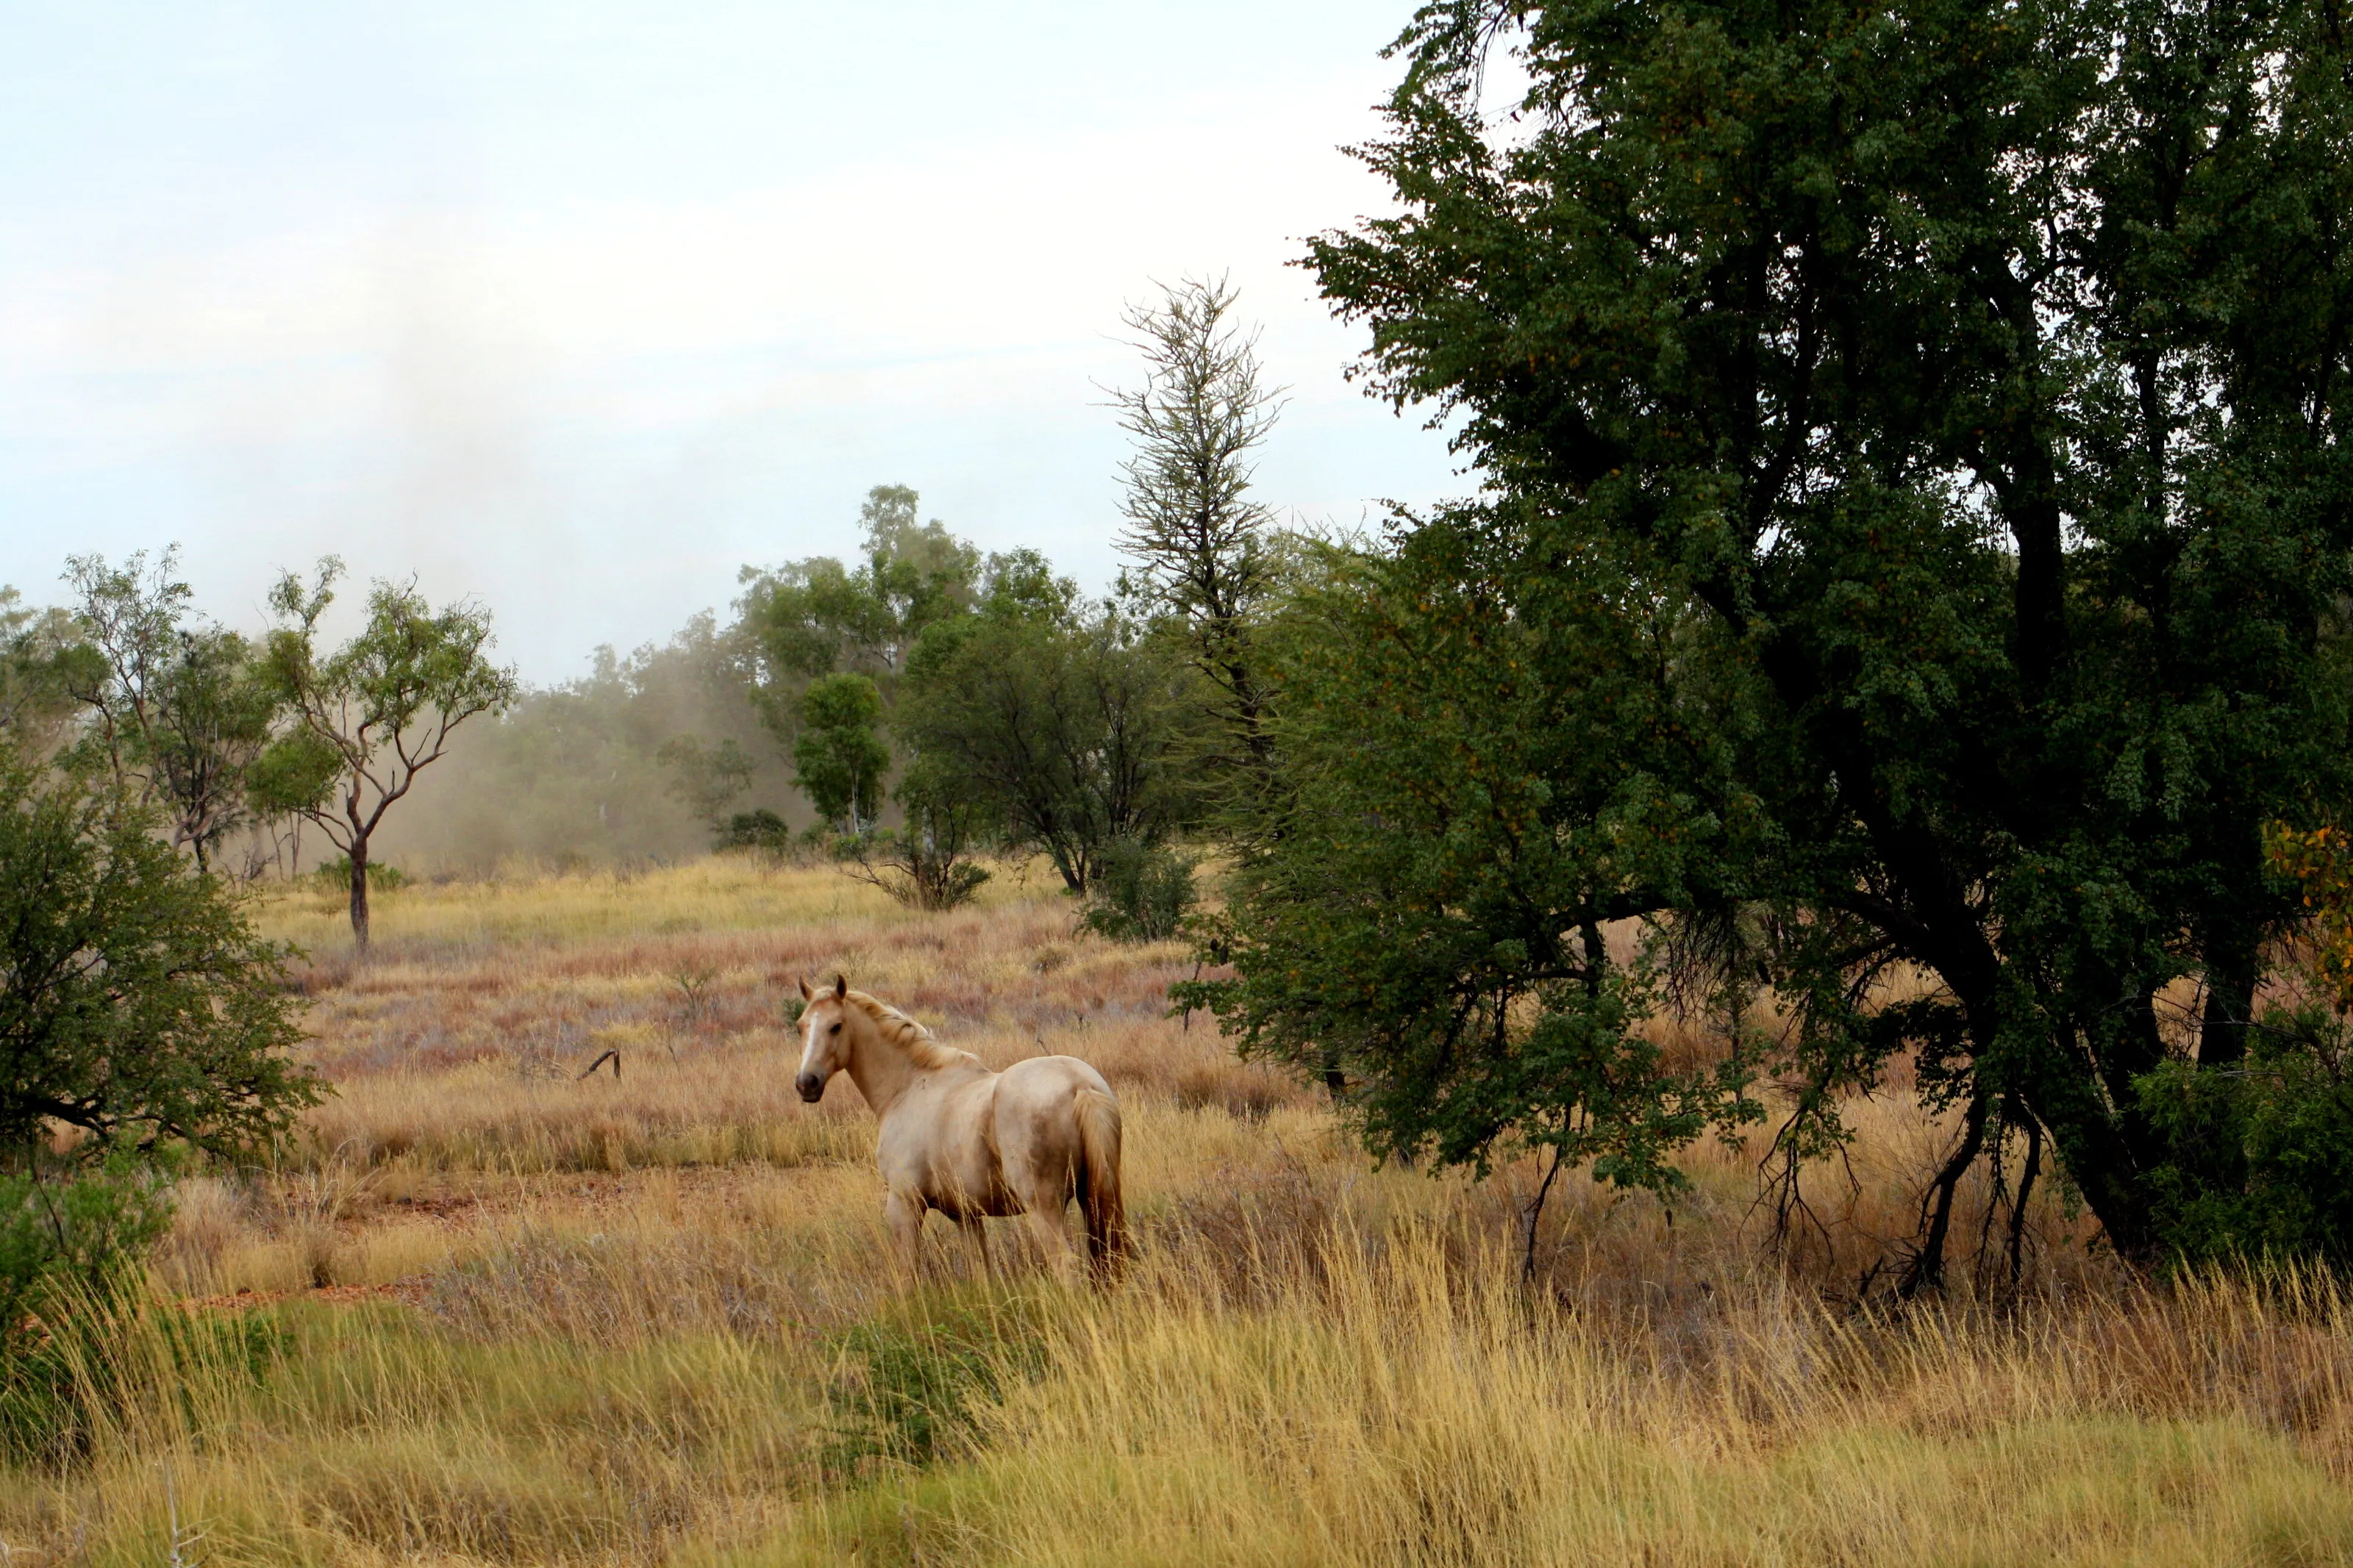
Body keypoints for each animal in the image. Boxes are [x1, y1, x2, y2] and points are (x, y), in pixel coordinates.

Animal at [792, 975, 1127, 1283]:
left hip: (1044, 1208)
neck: (908, 1086)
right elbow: (982, 1273)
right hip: (1091, 1201)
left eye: (836, 1026)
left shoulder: (904, 1205)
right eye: (801, 1026)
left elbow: (908, 1276)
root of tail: (1079, 1085)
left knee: (1066, 1266)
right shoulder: (966, 1217)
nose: (807, 1083)